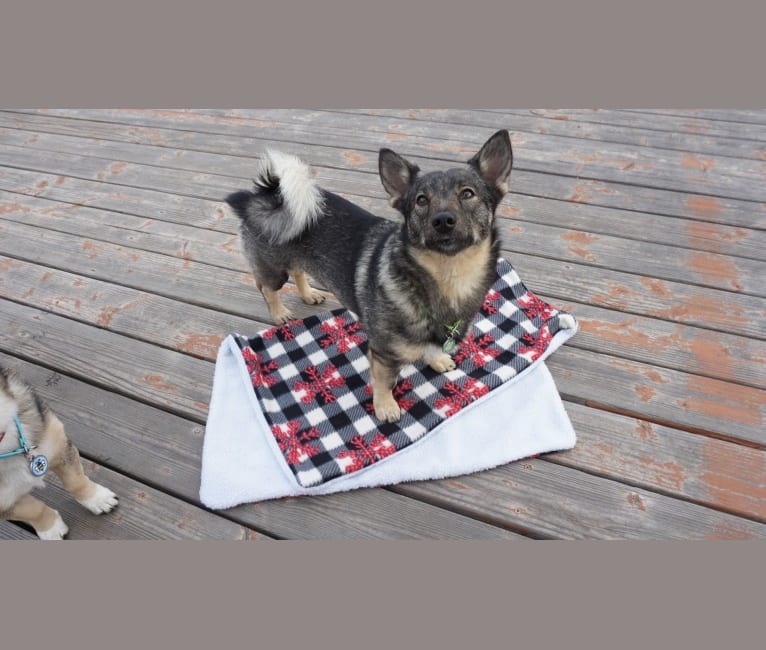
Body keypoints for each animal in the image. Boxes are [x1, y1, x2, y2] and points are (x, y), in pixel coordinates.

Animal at [0, 364, 118, 536]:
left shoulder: (58, 443)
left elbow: (75, 481)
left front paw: (98, 499)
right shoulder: (5, 503)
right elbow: (33, 511)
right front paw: (52, 529)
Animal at [226, 130, 516, 422]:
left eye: (468, 194)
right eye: (421, 200)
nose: (443, 220)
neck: (450, 276)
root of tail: (268, 196)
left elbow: (431, 348)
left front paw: (437, 359)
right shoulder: (382, 354)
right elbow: (384, 382)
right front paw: (385, 406)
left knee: (297, 269)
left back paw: (308, 294)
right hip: (274, 269)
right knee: (265, 286)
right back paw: (279, 312)